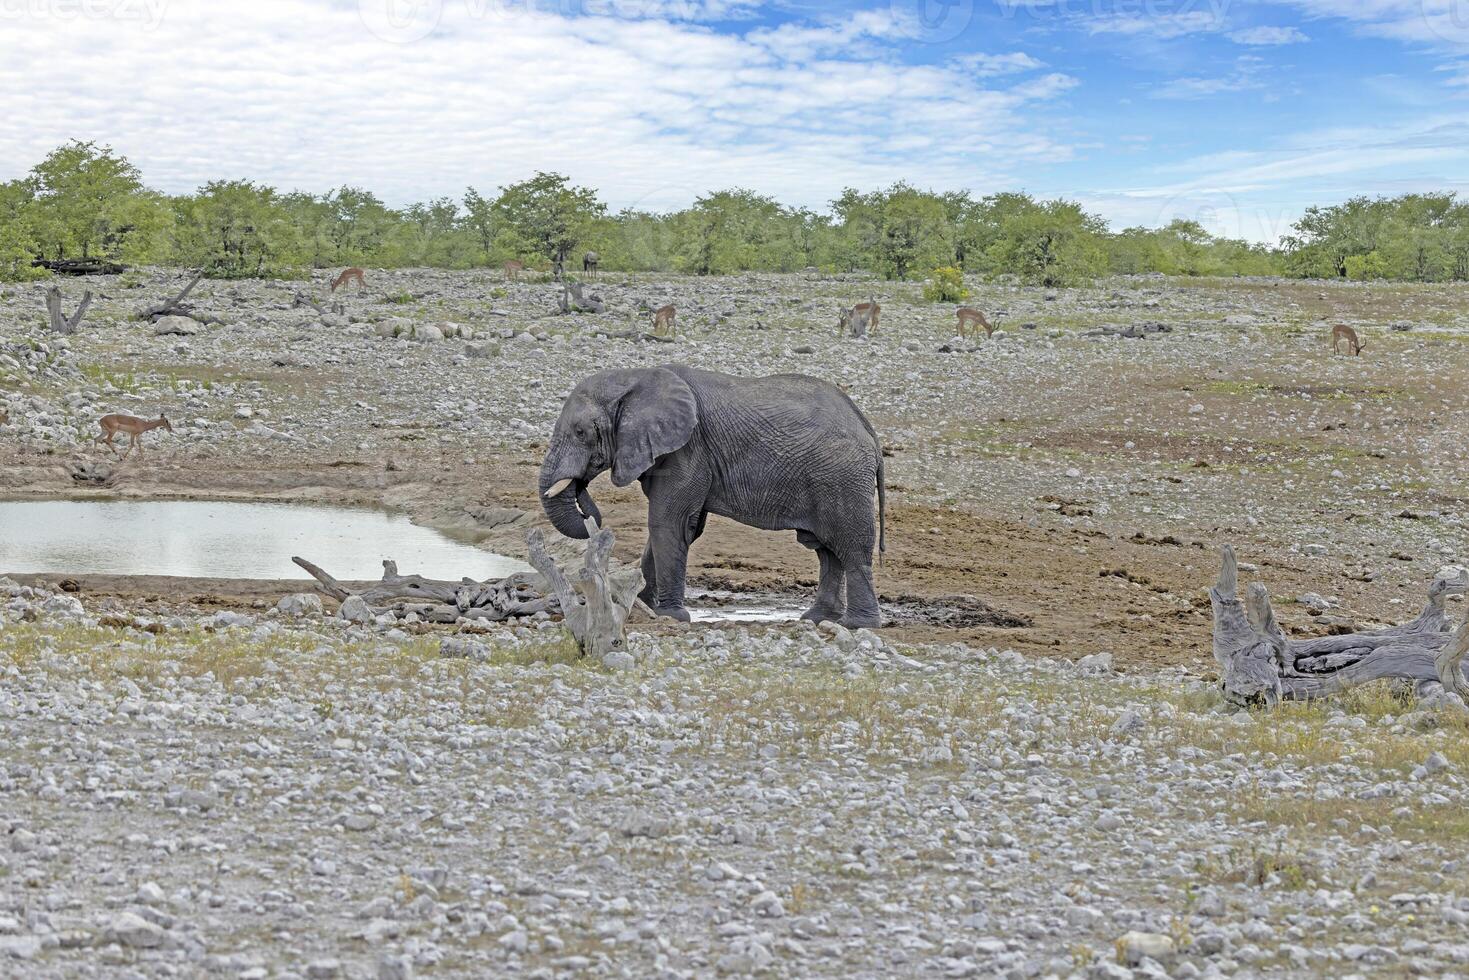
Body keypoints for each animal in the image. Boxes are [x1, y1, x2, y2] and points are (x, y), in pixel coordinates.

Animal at [540, 365, 881, 628]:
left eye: (581, 432)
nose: (584, 498)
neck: (633, 378)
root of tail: (868, 429)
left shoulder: (688, 450)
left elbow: (668, 523)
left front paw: (670, 616)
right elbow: (681, 527)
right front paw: (642, 606)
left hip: (842, 479)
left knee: (851, 548)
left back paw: (858, 624)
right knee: (827, 551)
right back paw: (818, 618)